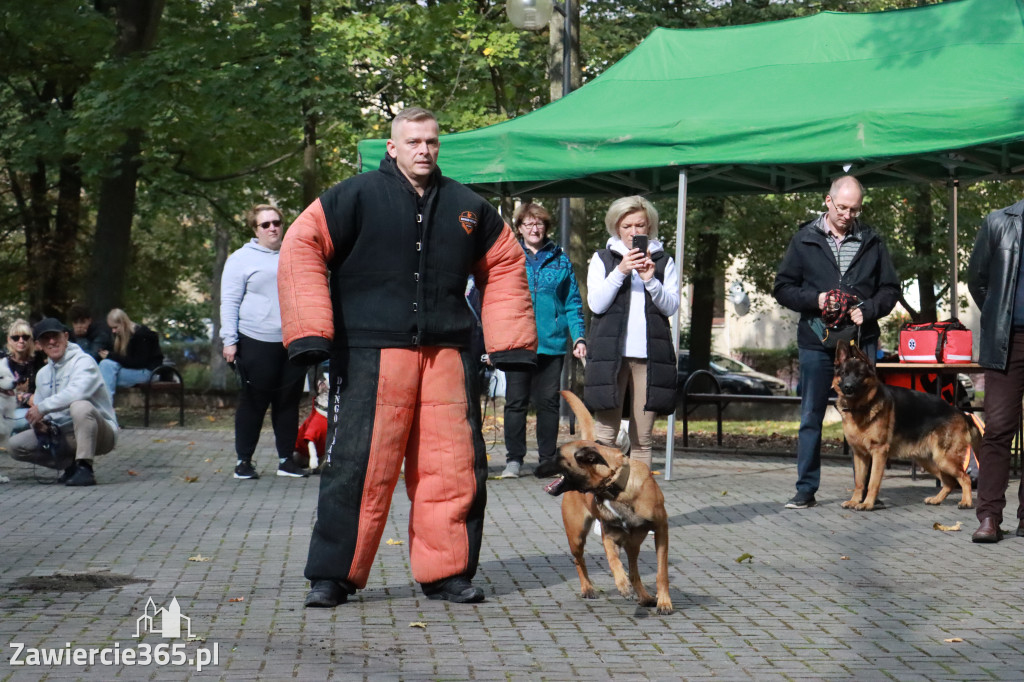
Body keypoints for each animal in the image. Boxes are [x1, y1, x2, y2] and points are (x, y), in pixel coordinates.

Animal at [532, 391, 675, 614]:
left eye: (558, 455)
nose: (535, 469)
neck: (616, 486)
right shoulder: (609, 536)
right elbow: (613, 561)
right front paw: (622, 585)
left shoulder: (661, 531)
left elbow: (661, 572)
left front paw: (664, 601)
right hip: (577, 536)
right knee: (579, 560)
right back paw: (588, 588)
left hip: (633, 544)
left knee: (634, 571)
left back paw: (644, 597)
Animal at [831, 342, 974, 507]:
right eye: (844, 373)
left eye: (859, 375)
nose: (848, 387)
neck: (860, 407)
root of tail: (960, 412)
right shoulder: (860, 454)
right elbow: (859, 482)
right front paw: (854, 501)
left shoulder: (879, 452)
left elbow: (872, 482)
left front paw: (867, 504)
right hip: (930, 461)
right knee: (950, 482)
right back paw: (937, 499)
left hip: (944, 460)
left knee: (964, 478)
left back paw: (966, 502)